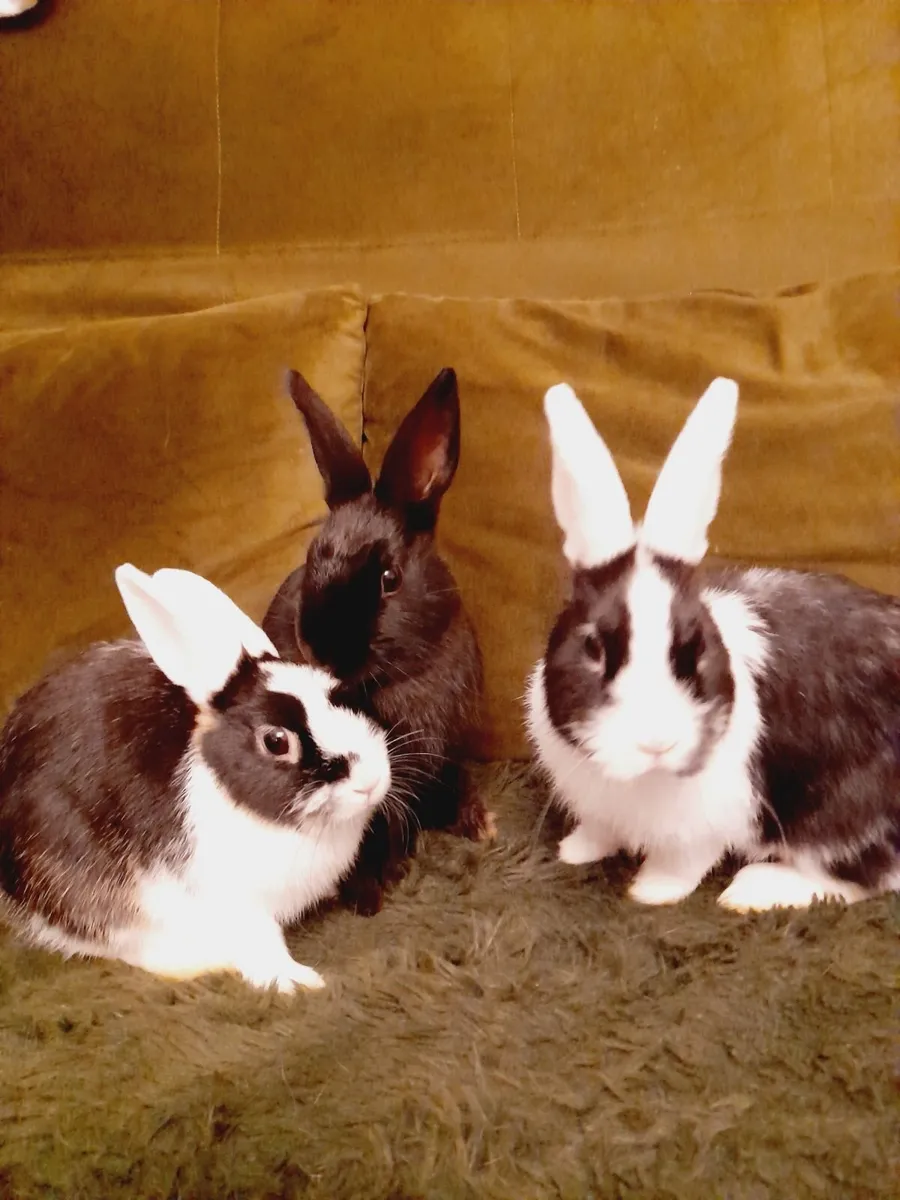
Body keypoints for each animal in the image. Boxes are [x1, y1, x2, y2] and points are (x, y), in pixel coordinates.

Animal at [0, 563, 392, 991]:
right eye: (276, 742)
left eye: (339, 694)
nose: (370, 780)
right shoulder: (230, 902)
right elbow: (261, 943)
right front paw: (296, 981)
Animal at [525, 377, 900, 912]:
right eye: (594, 647)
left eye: (696, 647)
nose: (657, 743)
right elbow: (599, 830)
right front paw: (576, 850)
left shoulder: (707, 826)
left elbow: (680, 865)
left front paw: (651, 892)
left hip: (843, 814)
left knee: (868, 875)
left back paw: (753, 890)